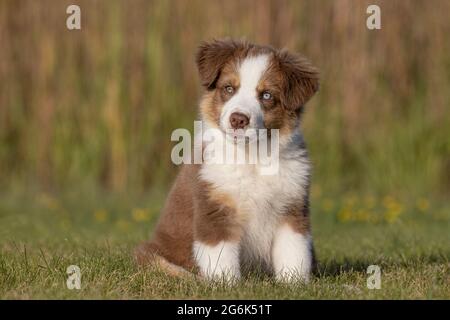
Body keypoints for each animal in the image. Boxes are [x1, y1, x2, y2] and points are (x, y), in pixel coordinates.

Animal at [134, 39, 320, 282]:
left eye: (266, 95)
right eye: (229, 88)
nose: (238, 119)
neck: (252, 156)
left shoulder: (292, 208)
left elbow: (294, 253)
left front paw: (294, 283)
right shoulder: (215, 207)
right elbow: (221, 256)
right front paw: (226, 284)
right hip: (150, 254)